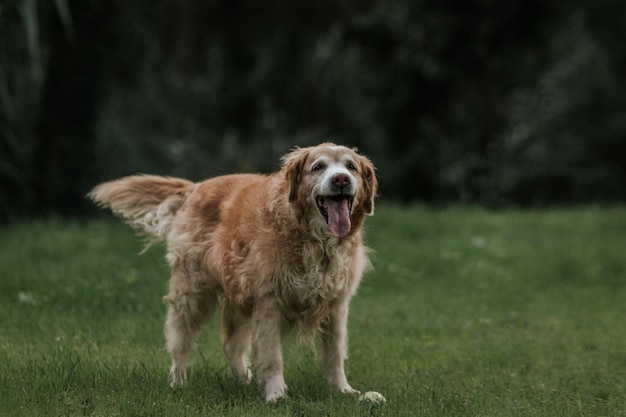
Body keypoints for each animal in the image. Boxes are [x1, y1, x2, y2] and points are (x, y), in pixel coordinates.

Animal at [88, 142, 376, 400]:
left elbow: (334, 356)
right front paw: (276, 395)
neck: (315, 242)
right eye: (318, 166)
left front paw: (344, 391)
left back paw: (245, 379)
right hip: (191, 293)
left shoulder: (336, 305)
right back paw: (178, 382)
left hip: (237, 295)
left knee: (230, 345)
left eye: (351, 166)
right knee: (180, 342)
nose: (341, 179)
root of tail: (196, 187)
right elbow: (272, 357)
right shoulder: (268, 303)